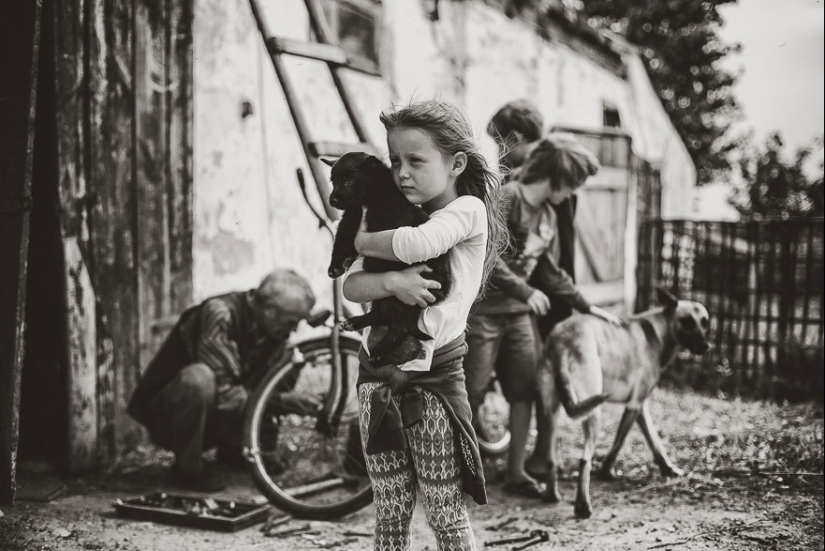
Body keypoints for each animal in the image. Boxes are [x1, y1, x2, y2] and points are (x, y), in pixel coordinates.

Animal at [536, 286, 708, 520]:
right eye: (688, 321)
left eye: (705, 322)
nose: (706, 346)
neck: (659, 329)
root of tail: (562, 340)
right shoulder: (634, 406)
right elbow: (617, 445)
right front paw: (605, 473)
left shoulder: (641, 408)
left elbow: (656, 444)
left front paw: (670, 470)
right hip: (593, 413)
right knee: (584, 460)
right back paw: (583, 506)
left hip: (550, 414)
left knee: (551, 458)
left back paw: (551, 495)